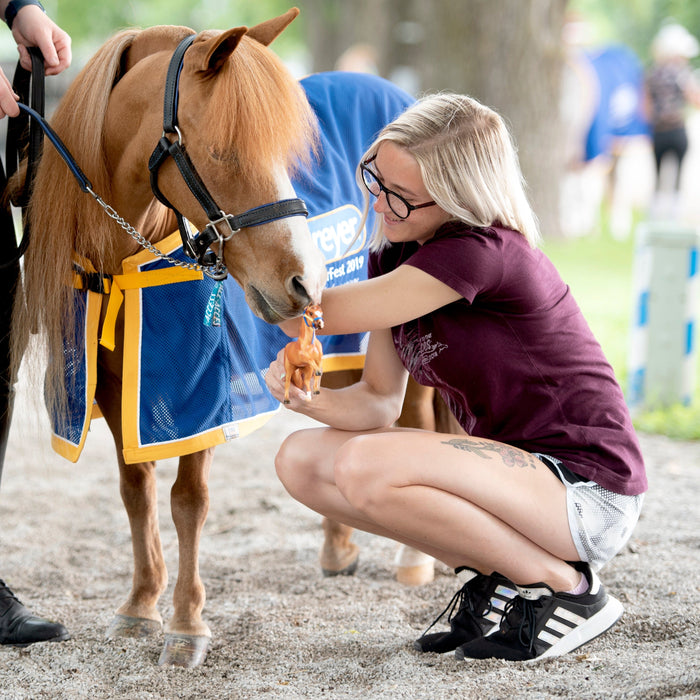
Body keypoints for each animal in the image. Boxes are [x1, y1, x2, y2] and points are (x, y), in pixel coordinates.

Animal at [9, 9, 326, 668]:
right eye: (225, 152)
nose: (308, 281)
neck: (124, 259)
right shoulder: (115, 386)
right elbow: (138, 489)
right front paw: (140, 605)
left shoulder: (199, 393)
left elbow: (189, 499)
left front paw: (186, 623)